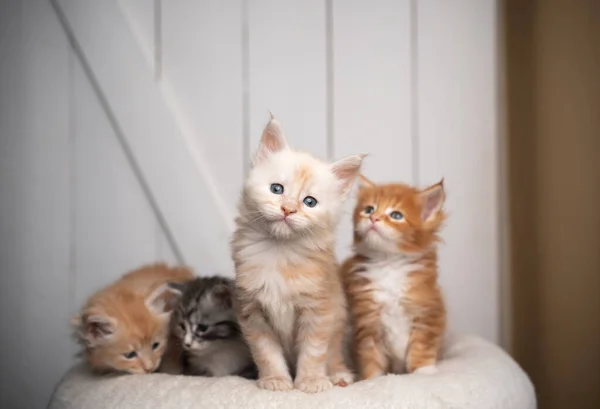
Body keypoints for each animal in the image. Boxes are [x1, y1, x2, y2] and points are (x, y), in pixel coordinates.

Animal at [230, 114, 364, 392]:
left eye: (309, 202)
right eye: (277, 189)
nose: (288, 209)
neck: (279, 252)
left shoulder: (319, 310)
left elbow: (313, 352)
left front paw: (311, 381)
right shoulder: (252, 311)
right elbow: (266, 353)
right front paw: (276, 380)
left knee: (334, 356)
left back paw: (338, 376)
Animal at [342, 176, 446, 380]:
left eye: (396, 215)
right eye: (369, 209)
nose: (373, 218)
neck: (388, 263)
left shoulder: (429, 312)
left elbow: (422, 347)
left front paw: (424, 371)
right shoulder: (367, 323)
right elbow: (371, 358)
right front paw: (371, 380)